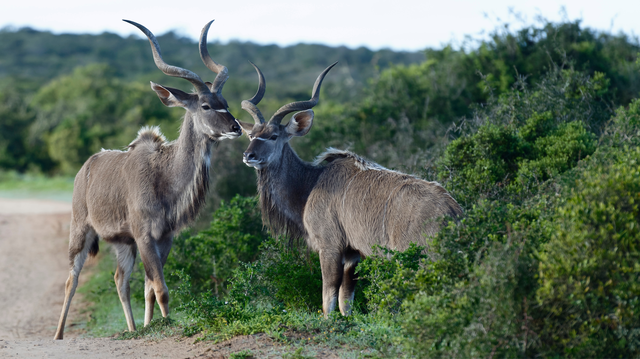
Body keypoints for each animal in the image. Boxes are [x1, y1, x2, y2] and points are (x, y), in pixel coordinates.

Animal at [52, 20, 241, 340]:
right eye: (205, 106)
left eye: (224, 102)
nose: (236, 127)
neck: (164, 175)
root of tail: (86, 167)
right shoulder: (144, 236)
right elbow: (161, 288)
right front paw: (166, 324)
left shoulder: (164, 237)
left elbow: (150, 287)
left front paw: (148, 326)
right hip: (81, 229)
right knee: (71, 278)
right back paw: (59, 335)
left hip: (122, 243)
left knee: (120, 279)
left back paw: (130, 329)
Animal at [238, 63, 462, 316]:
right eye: (251, 135)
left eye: (274, 136)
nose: (248, 155)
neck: (311, 183)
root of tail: (454, 212)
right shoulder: (353, 255)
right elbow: (346, 301)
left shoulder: (330, 246)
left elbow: (328, 298)